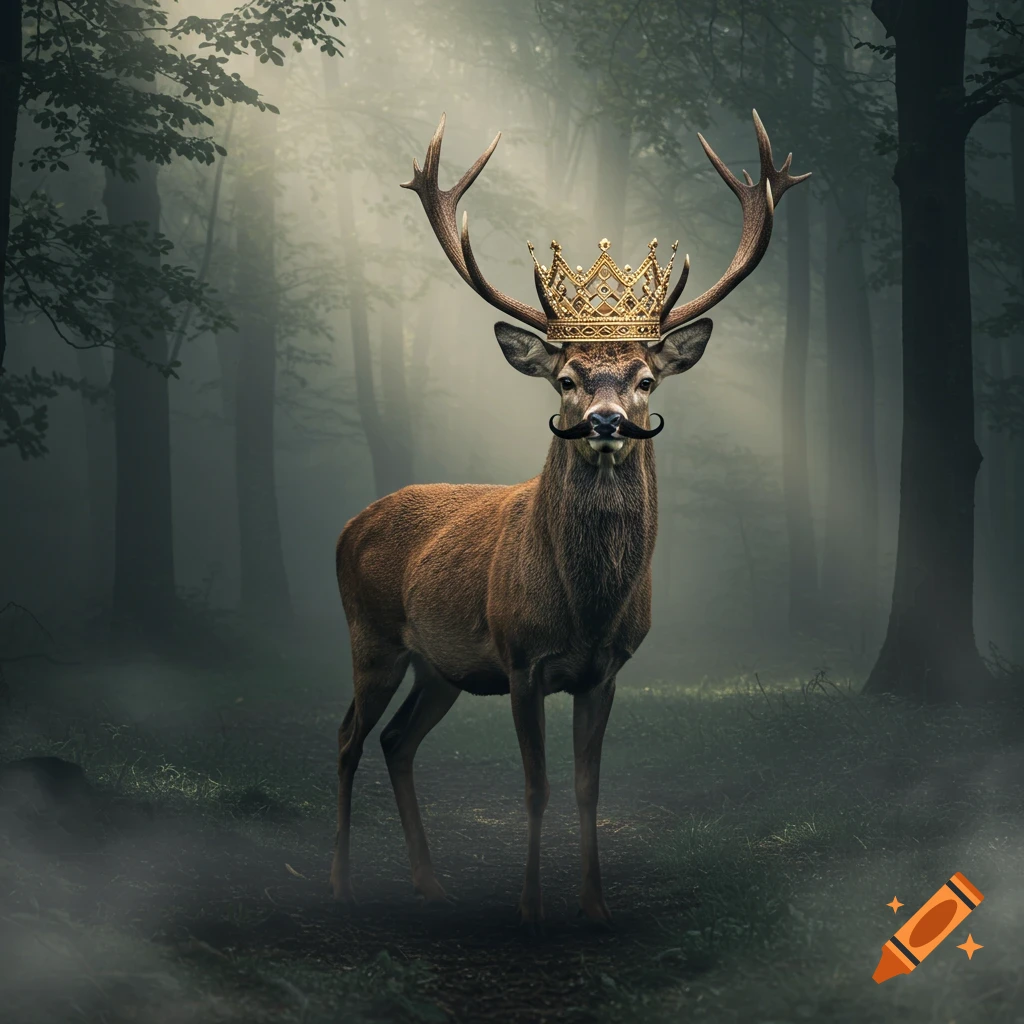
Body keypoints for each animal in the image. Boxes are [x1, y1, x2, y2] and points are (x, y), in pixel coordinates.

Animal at [330, 110, 809, 928]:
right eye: (565, 378)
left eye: (645, 378)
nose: (605, 422)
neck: (584, 607)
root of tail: (345, 527)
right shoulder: (521, 660)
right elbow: (536, 786)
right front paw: (529, 906)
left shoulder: (605, 670)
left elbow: (588, 788)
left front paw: (594, 903)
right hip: (373, 637)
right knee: (346, 739)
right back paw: (339, 884)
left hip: (440, 665)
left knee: (396, 741)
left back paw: (430, 883)